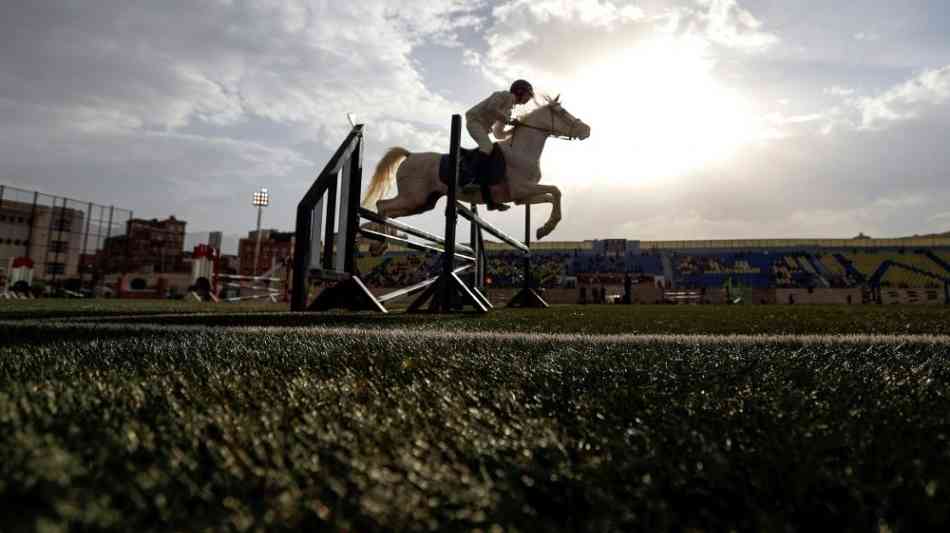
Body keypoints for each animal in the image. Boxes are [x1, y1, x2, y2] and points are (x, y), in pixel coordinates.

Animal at [360, 96, 592, 254]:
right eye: (563, 112)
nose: (587, 130)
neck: (522, 150)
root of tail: (410, 155)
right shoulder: (522, 189)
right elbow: (556, 191)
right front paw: (548, 227)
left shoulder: (521, 197)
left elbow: (551, 197)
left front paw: (544, 229)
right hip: (413, 197)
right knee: (382, 205)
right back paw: (379, 244)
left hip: (421, 203)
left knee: (389, 211)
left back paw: (379, 239)